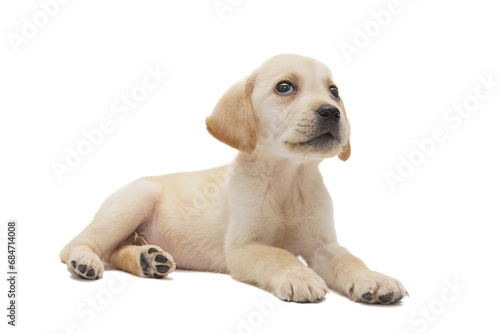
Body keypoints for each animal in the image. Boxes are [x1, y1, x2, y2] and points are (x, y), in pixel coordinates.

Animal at [60, 53, 408, 304]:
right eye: (285, 87)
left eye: (334, 92)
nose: (332, 112)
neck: (286, 177)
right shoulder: (242, 247)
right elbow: (278, 254)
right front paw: (299, 277)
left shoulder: (323, 246)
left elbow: (350, 260)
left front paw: (373, 279)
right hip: (136, 198)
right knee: (77, 245)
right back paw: (84, 261)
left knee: (117, 252)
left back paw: (149, 260)